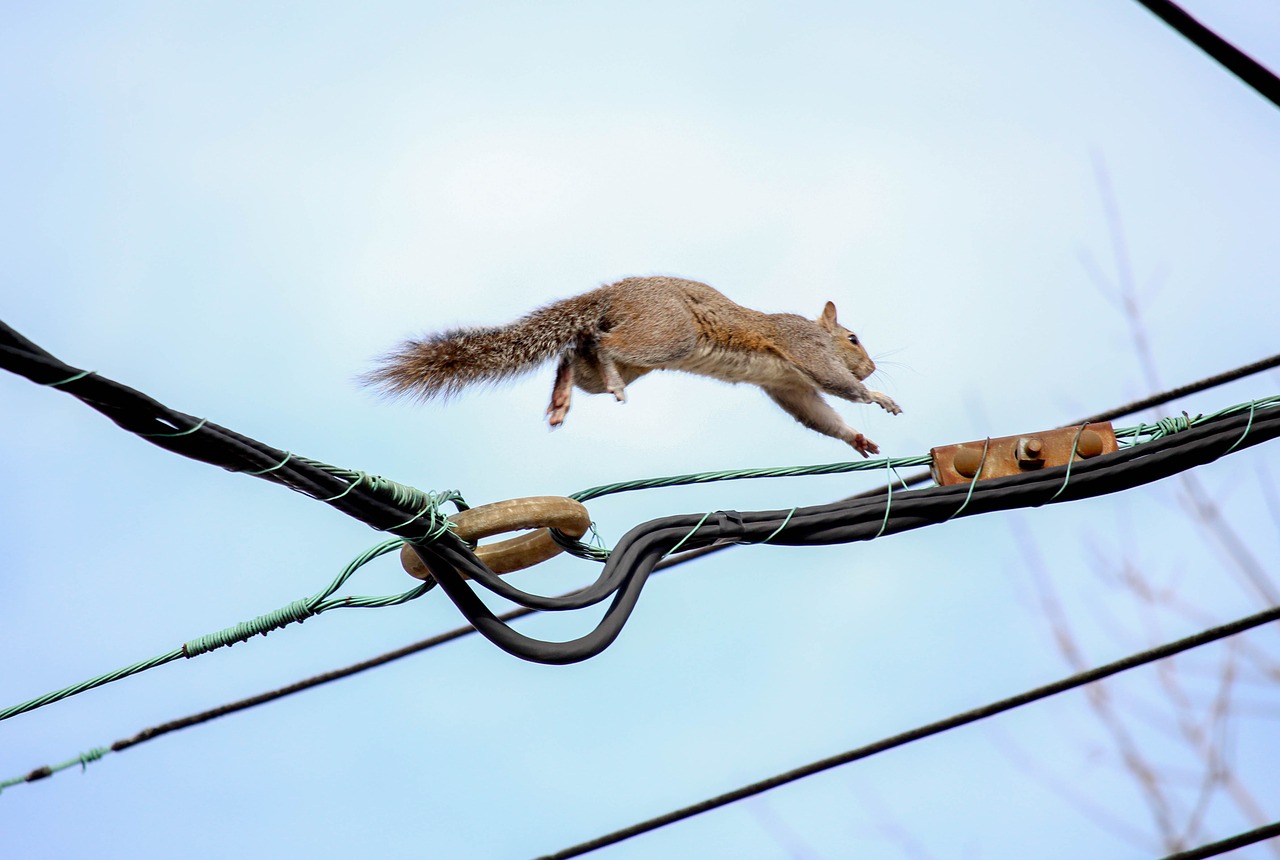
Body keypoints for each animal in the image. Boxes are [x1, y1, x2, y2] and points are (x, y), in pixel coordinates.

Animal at [360, 280, 901, 455]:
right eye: (853, 338)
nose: (872, 366)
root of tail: (613, 293)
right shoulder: (804, 350)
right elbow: (833, 382)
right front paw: (879, 398)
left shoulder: (788, 384)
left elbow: (816, 412)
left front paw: (857, 438)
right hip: (668, 335)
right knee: (598, 343)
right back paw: (608, 381)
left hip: (638, 352)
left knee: (574, 351)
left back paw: (561, 399)